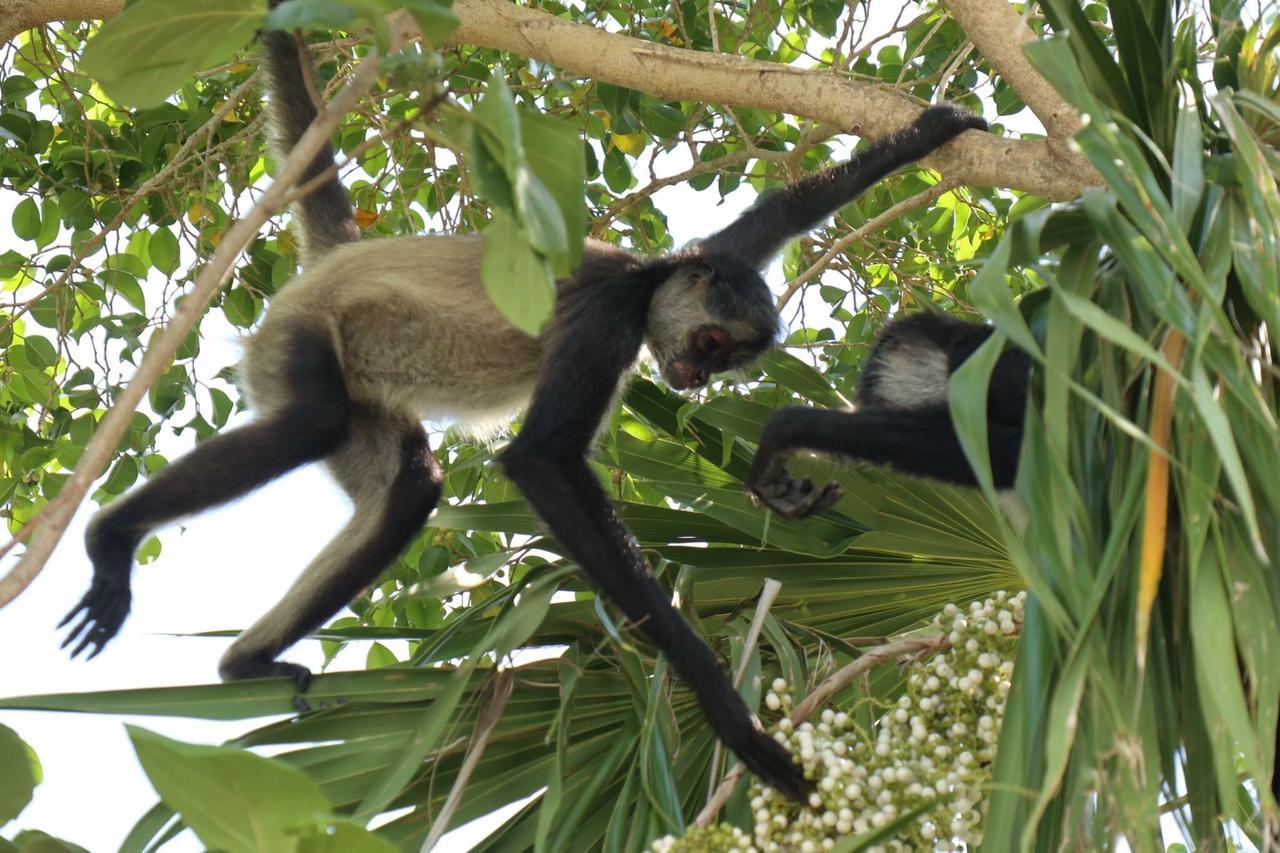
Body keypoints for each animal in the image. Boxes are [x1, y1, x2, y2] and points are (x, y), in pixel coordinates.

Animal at [55, 18, 983, 799]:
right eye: (715, 343)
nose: (694, 378)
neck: (640, 283)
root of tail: (337, 263)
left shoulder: (693, 266)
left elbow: (774, 213)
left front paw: (926, 134)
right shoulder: (609, 318)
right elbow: (538, 460)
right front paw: (722, 702)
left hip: (362, 392)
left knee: (410, 484)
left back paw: (244, 664)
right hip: (299, 339)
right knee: (311, 424)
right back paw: (111, 539)